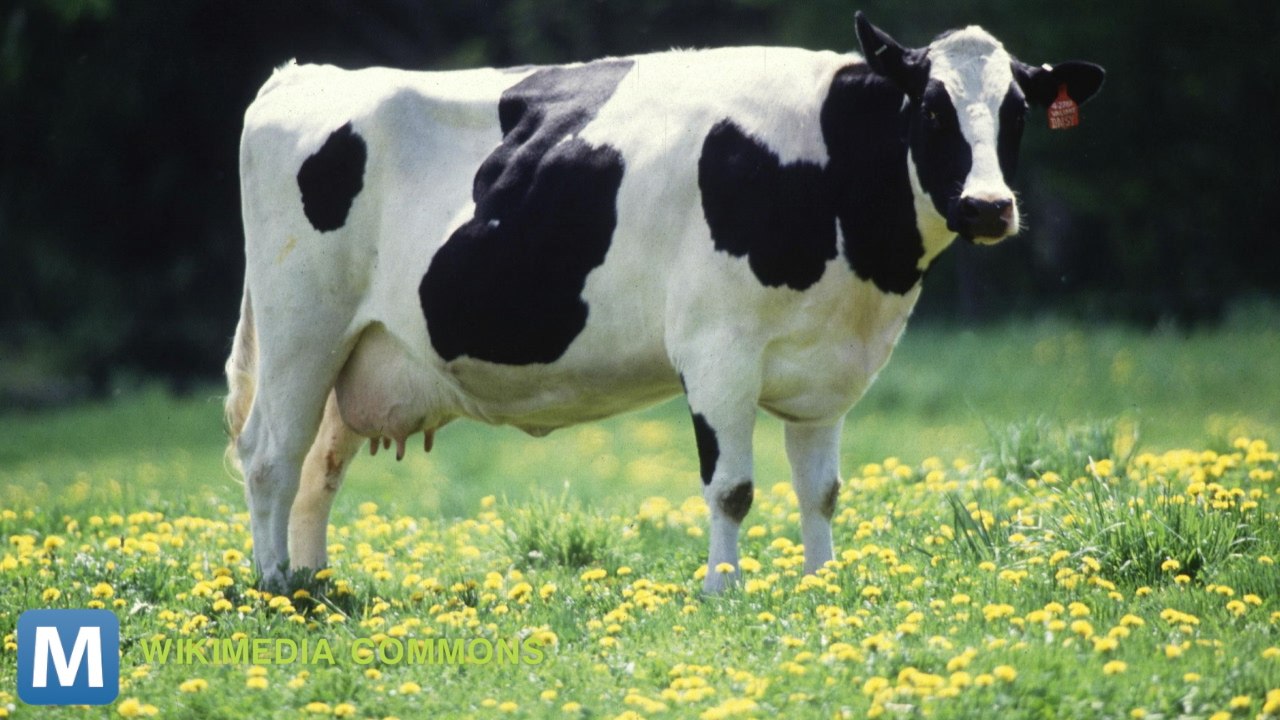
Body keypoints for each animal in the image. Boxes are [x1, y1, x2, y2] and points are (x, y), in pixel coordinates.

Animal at [225, 12, 1104, 593]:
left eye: (1017, 112)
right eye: (930, 107)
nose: (988, 206)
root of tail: (303, 75)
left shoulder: (827, 369)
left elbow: (820, 489)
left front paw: (822, 586)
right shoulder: (717, 350)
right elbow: (733, 487)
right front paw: (723, 591)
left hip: (358, 350)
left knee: (319, 466)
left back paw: (315, 584)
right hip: (301, 327)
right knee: (271, 455)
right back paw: (275, 590)